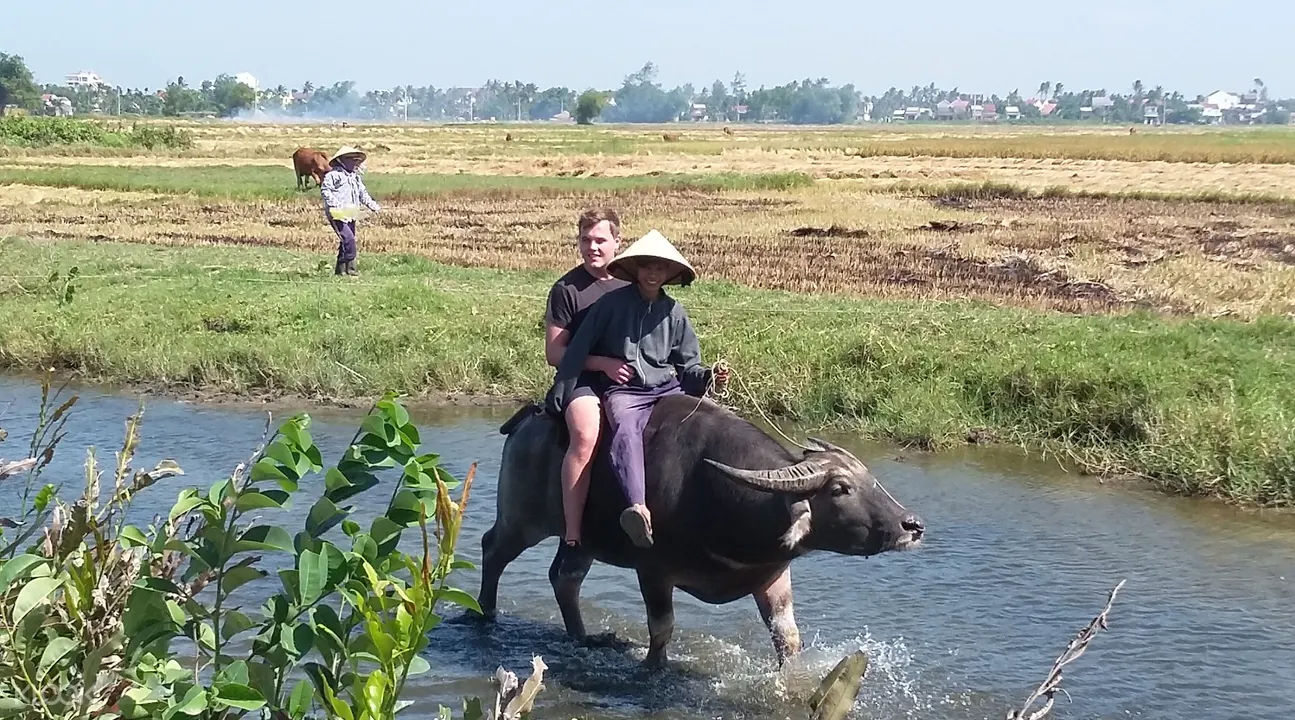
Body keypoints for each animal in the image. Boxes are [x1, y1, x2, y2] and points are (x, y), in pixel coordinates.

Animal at [477, 395, 925, 669]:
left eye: (869, 478)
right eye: (839, 489)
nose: (912, 526)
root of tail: (527, 420)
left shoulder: (773, 577)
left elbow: (788, 638)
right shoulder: (653, 572)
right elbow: (662, 629)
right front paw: (653, 667)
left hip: (580, 538)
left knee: (564, 578)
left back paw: (584, 638)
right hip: (522, 519)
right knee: (493, 549)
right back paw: (485, 613)